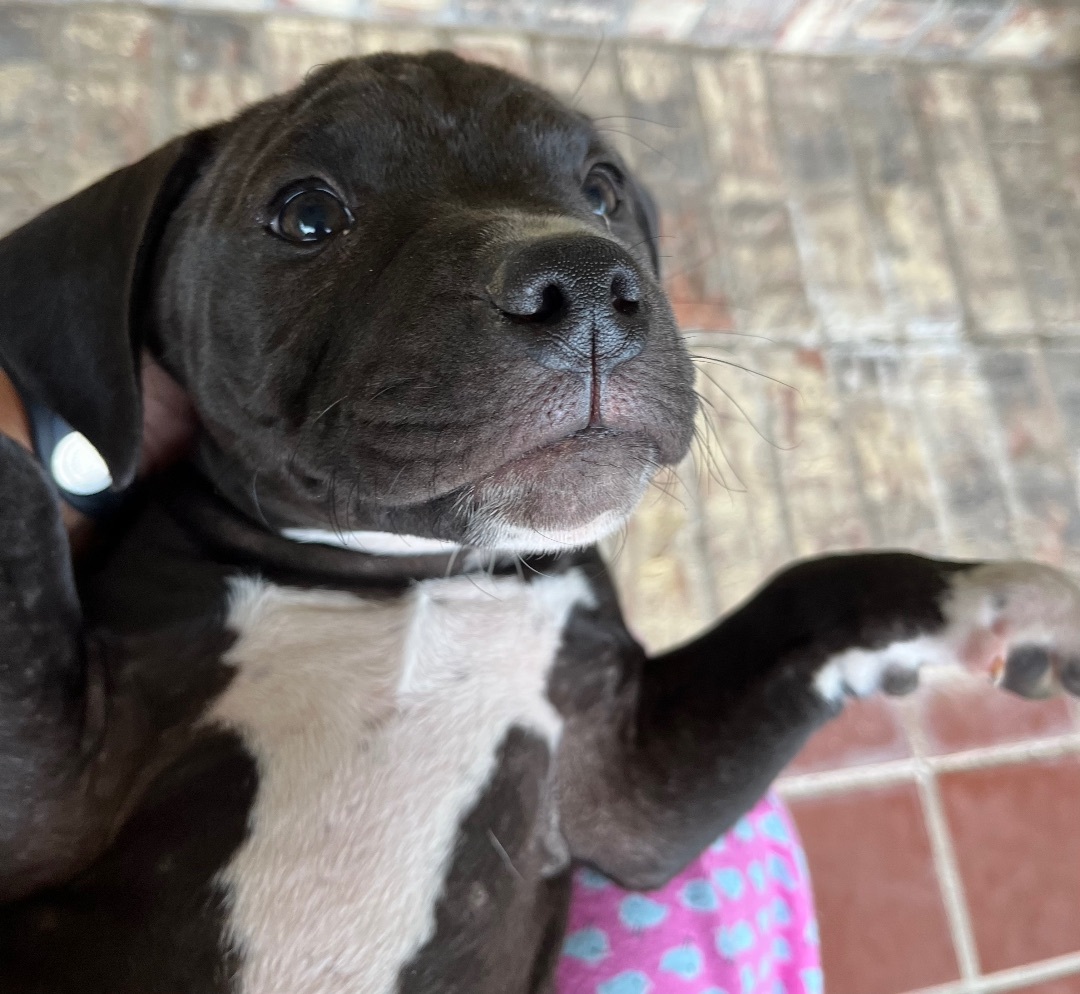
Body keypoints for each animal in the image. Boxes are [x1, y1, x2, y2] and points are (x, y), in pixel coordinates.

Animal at [2, 52, 1080, 994]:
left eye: (601, 189)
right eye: (307, 215)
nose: (592, 285)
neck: (415, 575)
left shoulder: (626, 785)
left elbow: (804, 593)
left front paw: (1003, 598)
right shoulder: (50, 796)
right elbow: (18, 500)